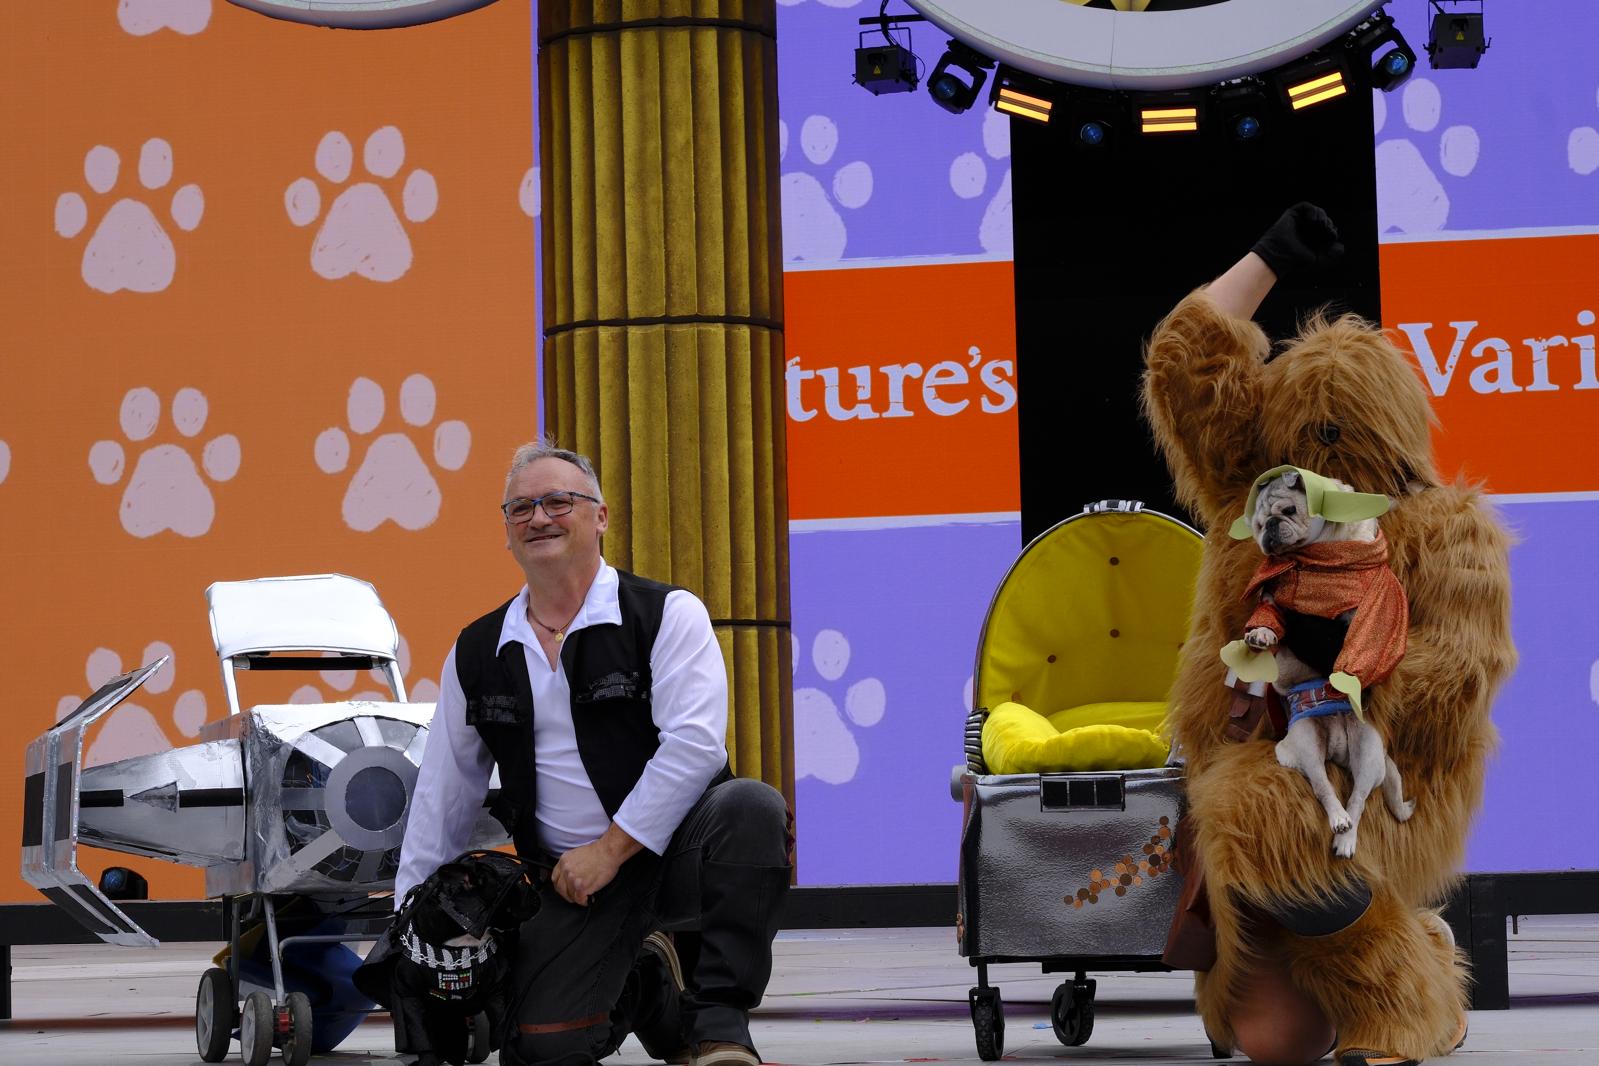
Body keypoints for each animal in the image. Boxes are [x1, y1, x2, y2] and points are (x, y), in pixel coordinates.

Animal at [1234, 466, 1413, 856]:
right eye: (1258, 525)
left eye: (1288, 510)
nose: (1270, 526)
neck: (1315, 559)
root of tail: (1337, 747)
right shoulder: (1272, 601)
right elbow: (1269, 616)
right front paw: (1261, 635)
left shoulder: (1369, 602)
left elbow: (1359, 630)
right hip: (1304, 744)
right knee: (1323, 786)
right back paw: (1338, 820)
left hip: (1368, 751)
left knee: (1358, 798)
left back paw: (1346, 836)